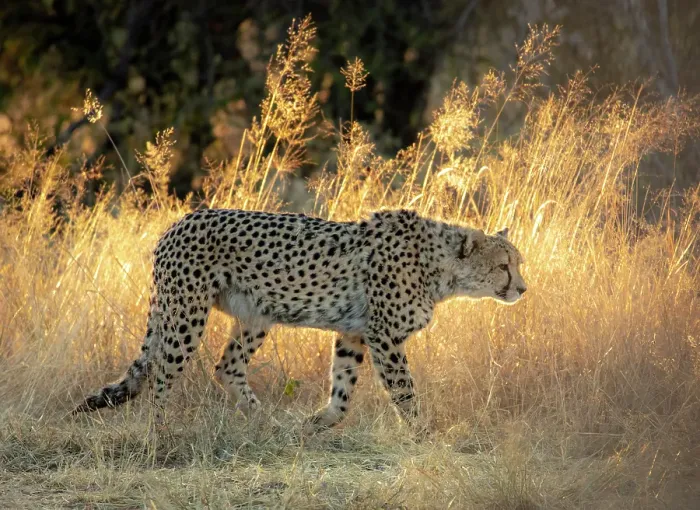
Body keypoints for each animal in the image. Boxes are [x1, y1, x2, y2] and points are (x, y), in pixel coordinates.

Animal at [73, 208, 527, 431]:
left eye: (517, 263)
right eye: (503, 266)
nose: (522, 289)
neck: (441, 268)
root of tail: (178, 222)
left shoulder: (354, 333)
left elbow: (342, 389)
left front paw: (317, 424)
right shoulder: (384, 337)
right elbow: (405, 393)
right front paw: (424, 434)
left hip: (255, 314)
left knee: (226, 367)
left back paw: (265, 420)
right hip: (186, 315)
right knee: (162, 376)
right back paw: (161, 433)